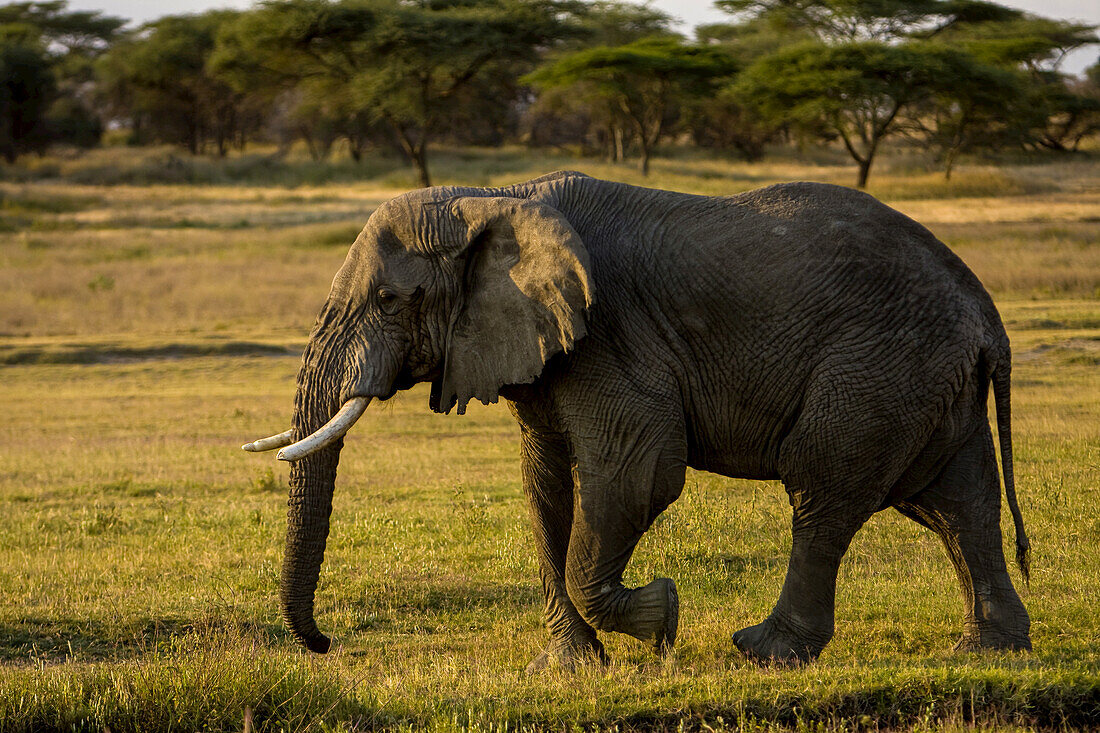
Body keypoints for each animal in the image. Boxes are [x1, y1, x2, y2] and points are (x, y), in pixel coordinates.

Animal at [240, 171, 1029, 669]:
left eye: (389, 299)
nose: (325, 645)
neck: (498, 197)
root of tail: (985, 312)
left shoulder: (610, 334)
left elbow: (638, 472)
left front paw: (663, 620)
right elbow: (544, 486)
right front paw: (567, 667)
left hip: (877, 368)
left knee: (823, 488)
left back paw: (765, 652)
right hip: (925, 378)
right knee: (958, 503)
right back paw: (989, 652)